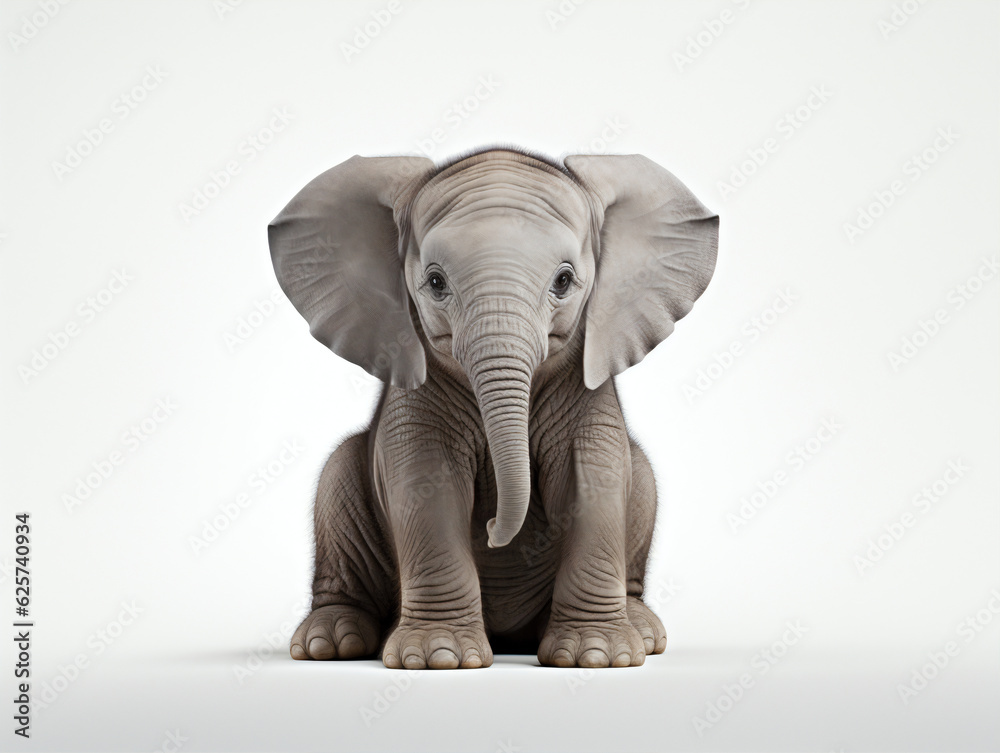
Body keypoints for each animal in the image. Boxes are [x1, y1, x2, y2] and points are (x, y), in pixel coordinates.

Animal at [268, 147, 718, 669]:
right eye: (435, 282)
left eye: (564, 280)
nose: (489, 527)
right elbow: (428, 483)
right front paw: (439, 657)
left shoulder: (587, 389)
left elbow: (593, 479)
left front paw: (598, 657)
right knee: (338, 471)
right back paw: (331, 642)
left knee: (639, 469)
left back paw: (642, 632)